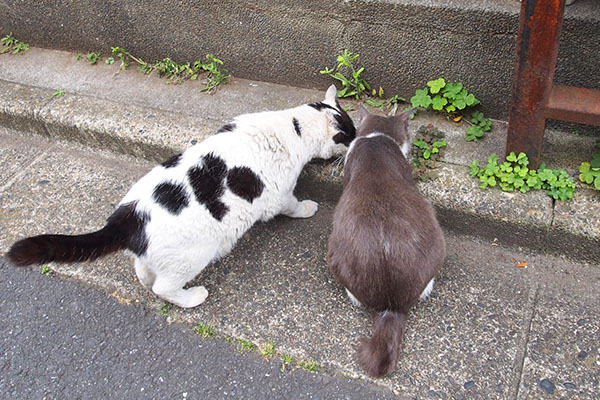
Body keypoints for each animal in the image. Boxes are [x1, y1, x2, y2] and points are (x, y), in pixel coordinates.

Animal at [8, 85, 356, 306]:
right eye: (350, 134)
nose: (355, 145)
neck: (293, 124)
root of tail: (125, 221)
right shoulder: (279, 194)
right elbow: (292, 205)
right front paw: (308, 208)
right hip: (195, 254)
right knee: (163, 287)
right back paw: (192, 297)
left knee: (143, 272)